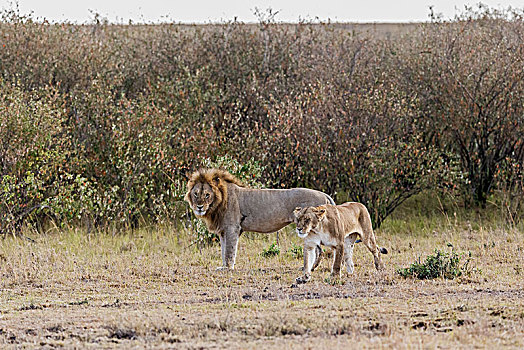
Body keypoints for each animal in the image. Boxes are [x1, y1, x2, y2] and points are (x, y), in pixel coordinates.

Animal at [184, 168, 334, 270]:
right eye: (196, 194)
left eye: (207, 195)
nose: (199, 207)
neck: (218, 203)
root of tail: (324, 194)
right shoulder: (223, 231)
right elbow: (223, 250)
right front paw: (223, 266)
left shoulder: (232, 228)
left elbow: (229, 251)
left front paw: (227, 268)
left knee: (319, 251)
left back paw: (309, 268)